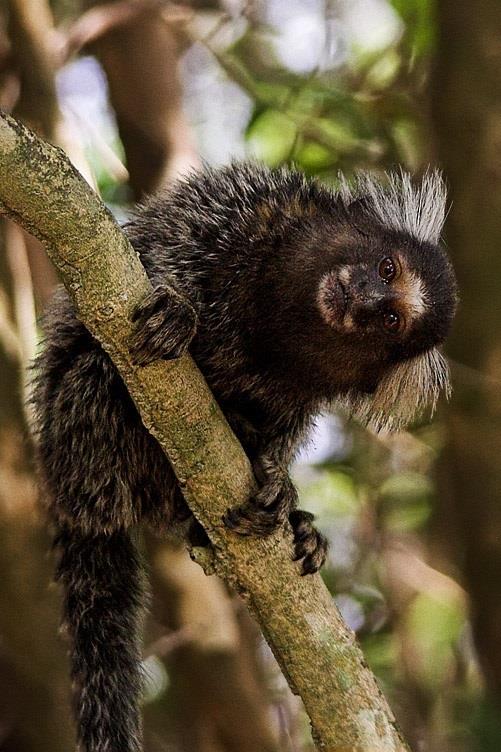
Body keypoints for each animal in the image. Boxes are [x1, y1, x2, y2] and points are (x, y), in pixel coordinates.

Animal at [31, 163, 457, 752]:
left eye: (392, 320)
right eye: (387, 267)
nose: (366, 299)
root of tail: (69, 495)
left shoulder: (300, 391)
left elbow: (281, 430)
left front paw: (280, 486)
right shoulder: (240, 210)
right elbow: (151, 257)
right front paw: (178, 312)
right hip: (77, 425)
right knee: (98, 371)